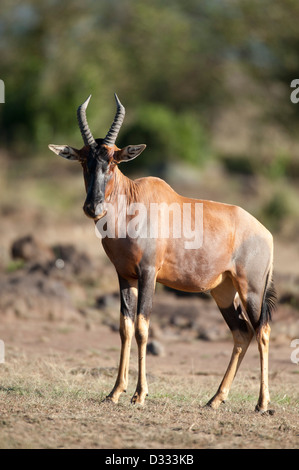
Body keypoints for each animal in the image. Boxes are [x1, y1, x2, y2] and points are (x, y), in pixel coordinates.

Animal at [48, 94, 276, 412]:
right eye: (84, 161)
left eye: (113, 162)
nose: (93, 207)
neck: (133, 203)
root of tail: (266, 233)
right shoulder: (124, 275)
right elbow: (125, 327)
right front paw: (114, 392)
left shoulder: (148, 273)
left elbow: (143, 327)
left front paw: (139, 395)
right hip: (223, 291)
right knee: (242, 332)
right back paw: (215, 399)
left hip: (252, 290)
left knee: (262, 331)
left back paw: (262, 404)